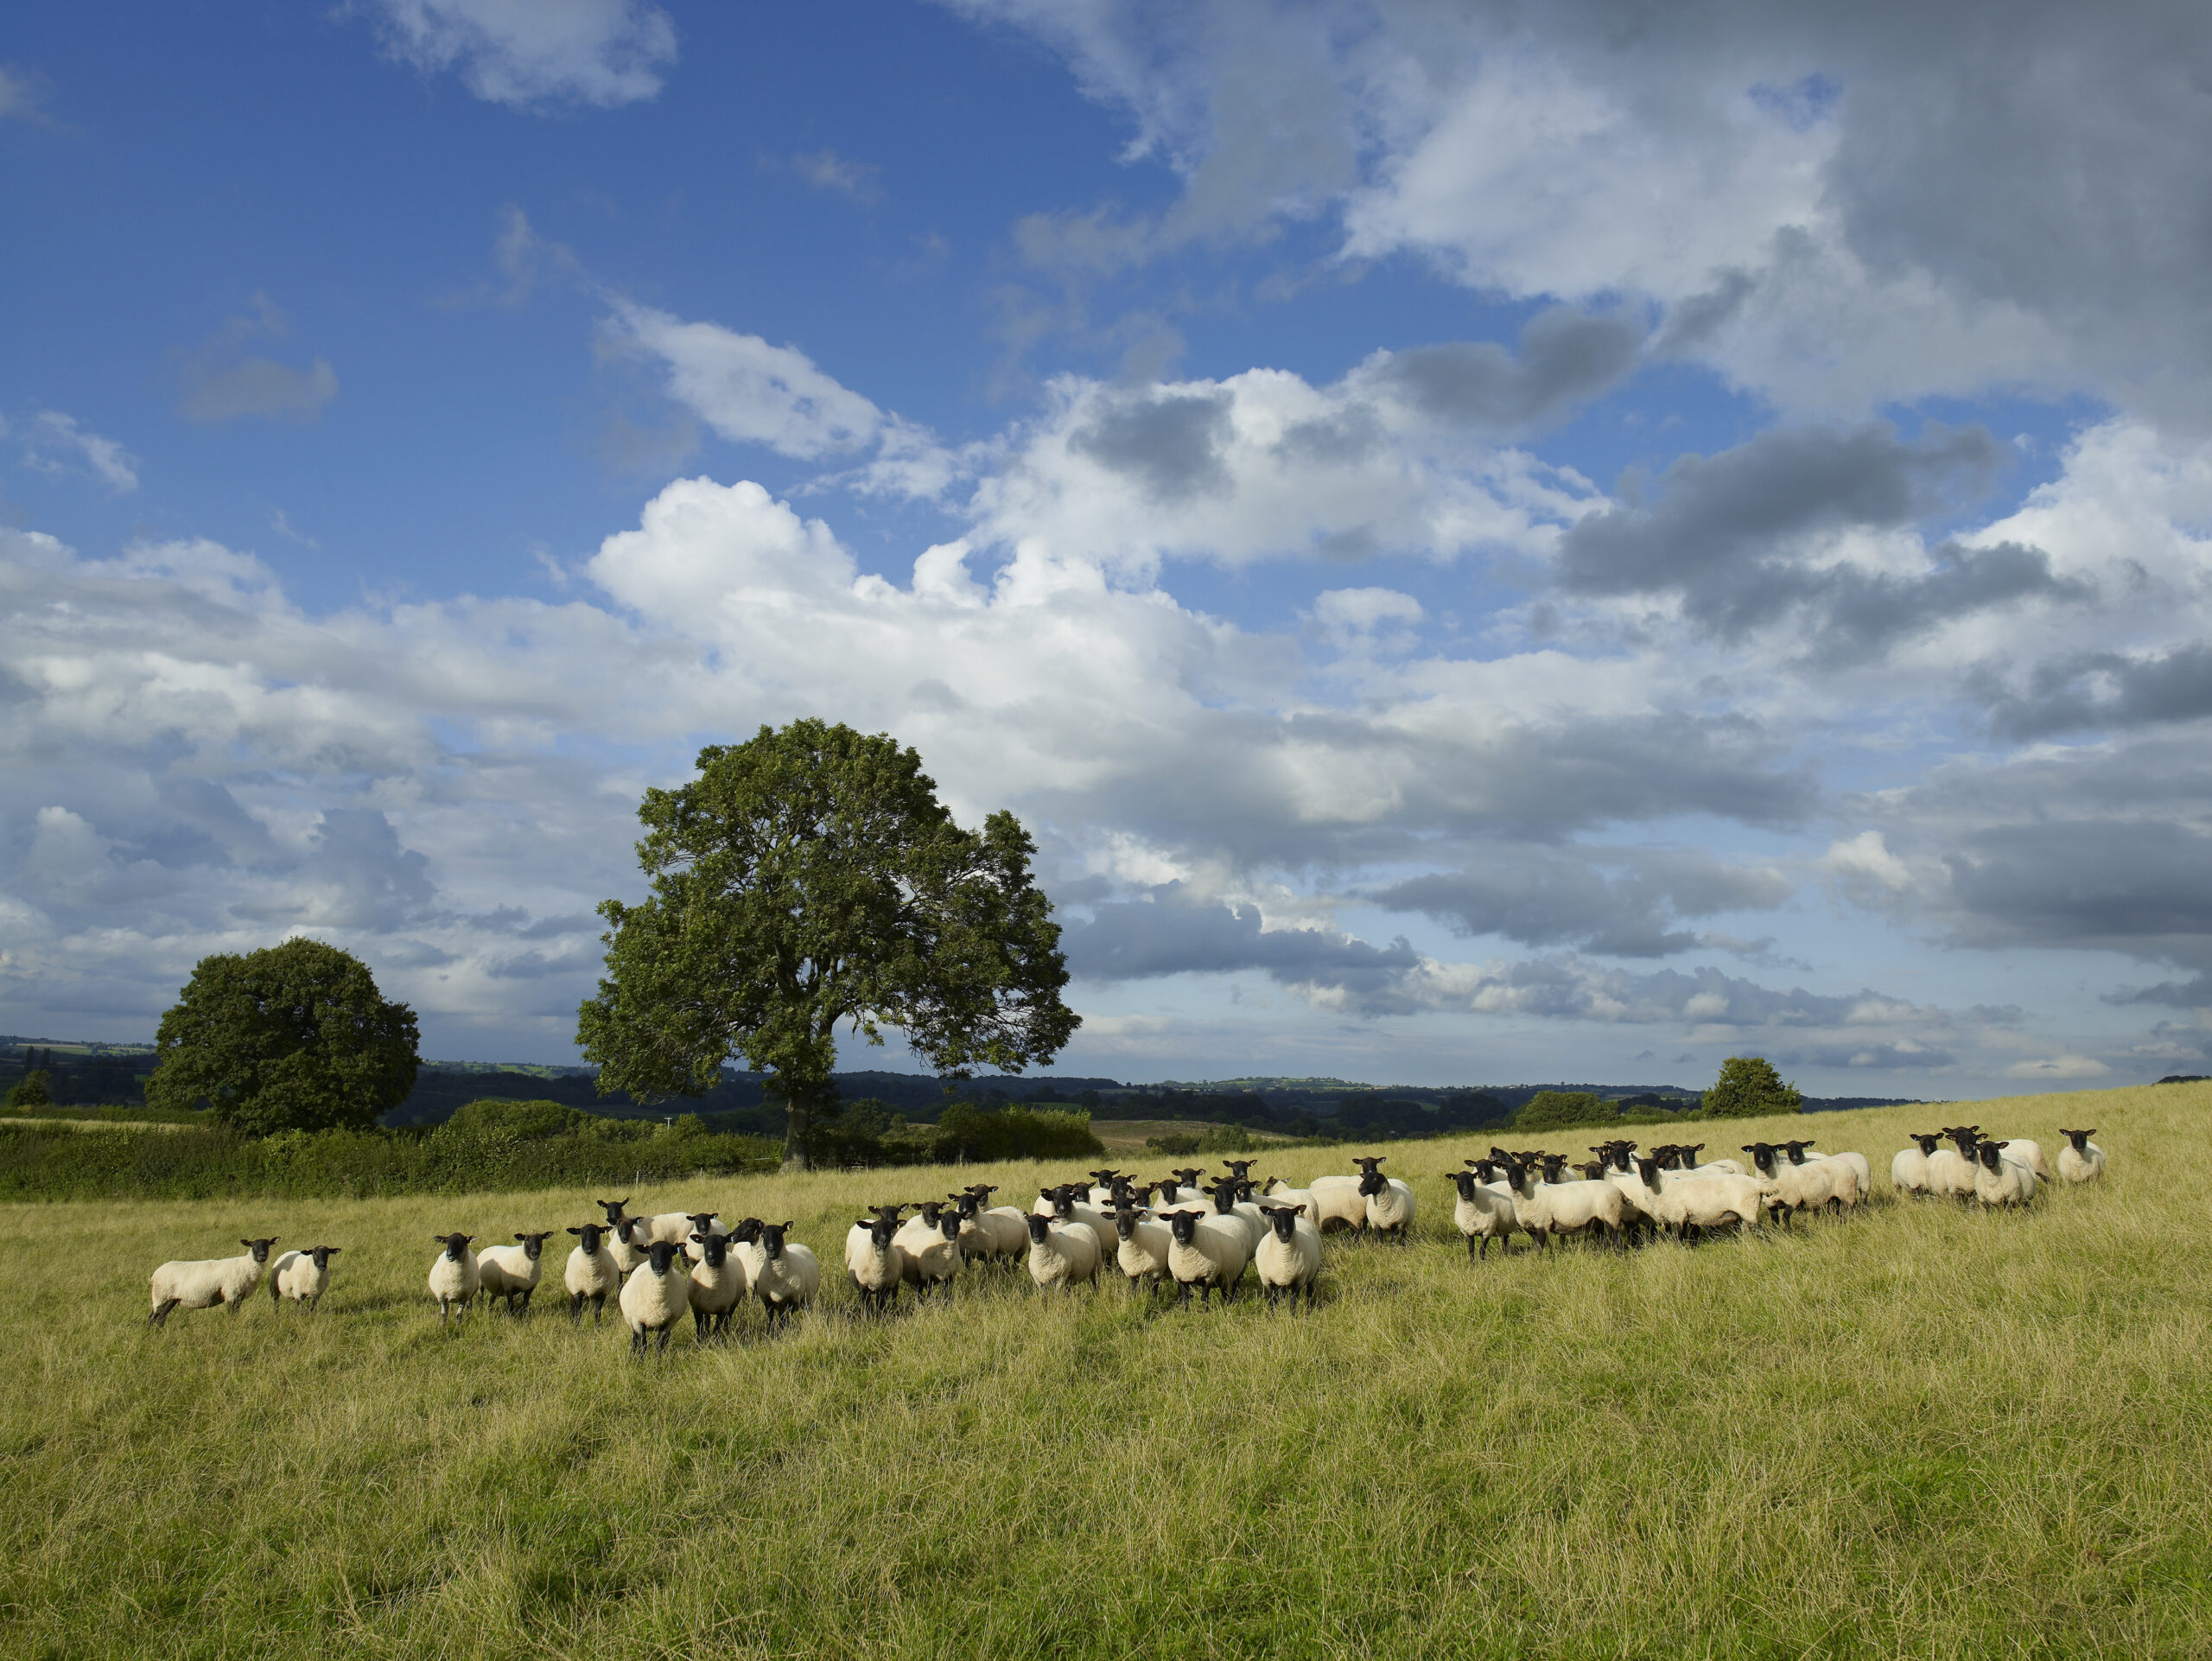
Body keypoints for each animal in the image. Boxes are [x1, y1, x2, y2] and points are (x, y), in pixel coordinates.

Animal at [149, 1238, 278, 1335]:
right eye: (253, 1245)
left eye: (267, 1244)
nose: (262, 1256)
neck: (246, 1266)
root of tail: (155, 1274)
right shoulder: (230, 1293)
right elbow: (231, 1314)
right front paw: (231, 1328)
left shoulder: (239, 1296)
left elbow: (236, 1313)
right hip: (160, 1296)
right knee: (153, 1317)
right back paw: (150, 1333)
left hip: (170, 1299)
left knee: (161, 1317)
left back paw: (159, 1331)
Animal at [614, 1238, 690, 1353]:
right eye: (650, 1252)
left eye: (670, 1251)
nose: (659, 1267)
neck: (658, 1297)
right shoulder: (638, 1322)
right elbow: (643, 1345)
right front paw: (640, 1358)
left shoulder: (667, 1323)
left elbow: (659, 1345)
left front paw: (659, 1358)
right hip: (631, 1321)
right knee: (634, 1339)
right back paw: (632, 1354)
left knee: (666, 1339)